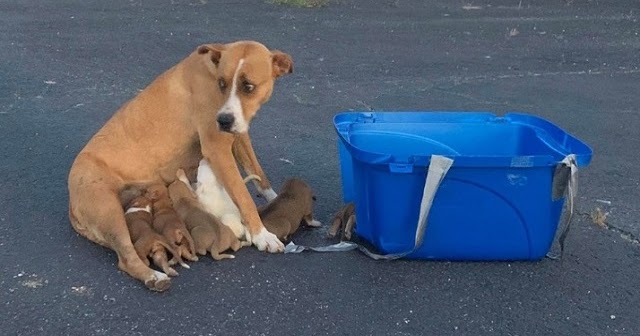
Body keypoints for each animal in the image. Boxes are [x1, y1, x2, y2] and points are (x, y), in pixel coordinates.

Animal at [67, 40, 292, 292]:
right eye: (222, 83)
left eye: (248, 86)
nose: (223, 121)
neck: (211, 69)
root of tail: (71, 203)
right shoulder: (217, 148)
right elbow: (244, 197)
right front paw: (262, 235)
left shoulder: (239, 134)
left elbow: (258, 174)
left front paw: (278, 201)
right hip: (109, 211)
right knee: (126, 257)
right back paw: (154, 276)